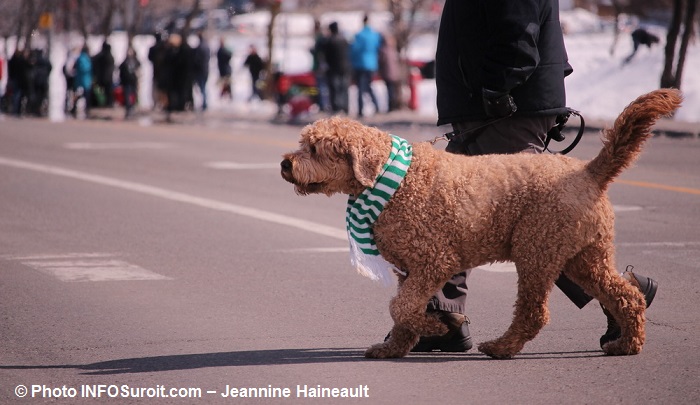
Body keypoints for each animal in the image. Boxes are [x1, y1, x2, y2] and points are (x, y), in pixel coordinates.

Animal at [280, 90, 684, 358]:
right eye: (304, 144)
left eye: (315, 148)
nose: (285, 163)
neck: (393, 178)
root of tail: (588, 172)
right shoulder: (409, 269)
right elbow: (404, 309)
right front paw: (395, 346)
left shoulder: (433, 261)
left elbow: (402, 308)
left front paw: (434, 328)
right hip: (582, 256)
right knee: (625, 294)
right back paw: (627, 342)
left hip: (536, 251)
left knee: (534, 312)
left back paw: (502, 347)